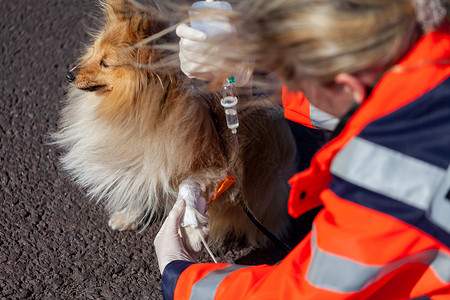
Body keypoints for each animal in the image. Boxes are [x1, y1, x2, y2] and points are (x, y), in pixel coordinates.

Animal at [54, 0, 298, 253]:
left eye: (105, 63)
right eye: (93, 51)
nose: (69, 75)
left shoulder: (213, 167)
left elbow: (187, 188)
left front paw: (192, 226)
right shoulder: (145, 159)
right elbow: (142, 186)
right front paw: (128, 216)